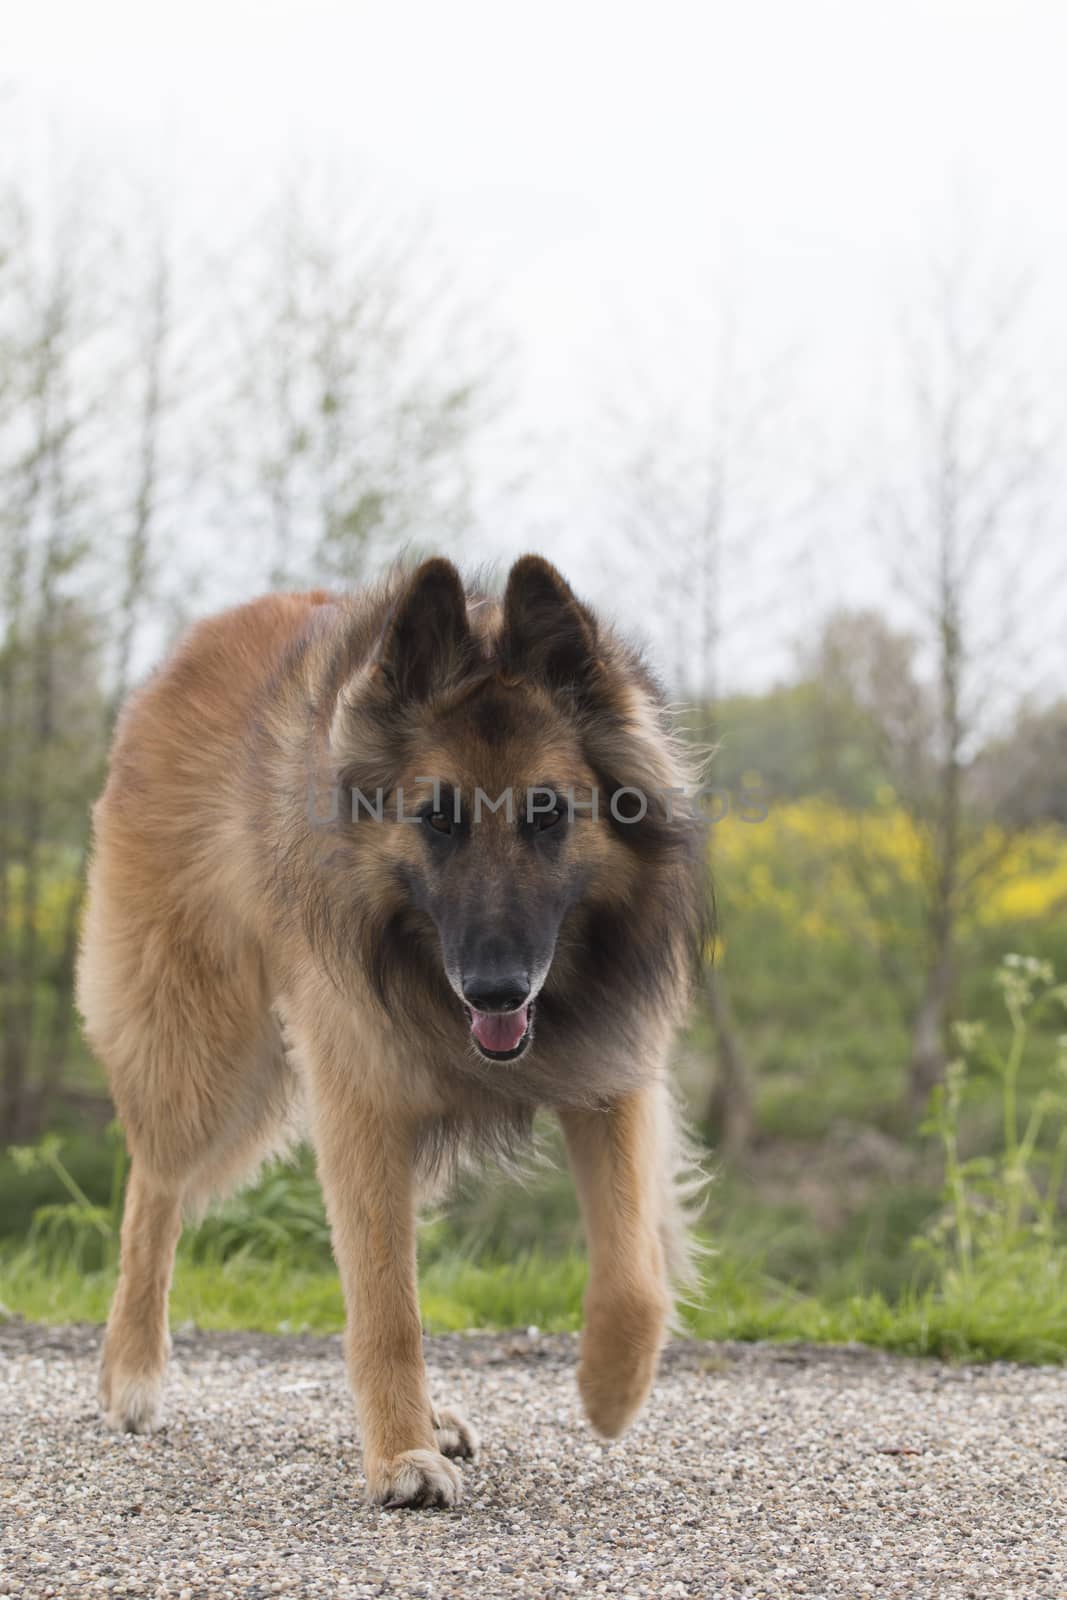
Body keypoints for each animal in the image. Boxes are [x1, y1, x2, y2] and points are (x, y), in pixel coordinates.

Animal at [77, 556, 710, 1504]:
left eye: (548, 814)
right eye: (438, 818)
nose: (495, 989)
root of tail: (191, 647)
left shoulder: (612, 1072)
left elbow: (634, 1270)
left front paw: (610, 1390)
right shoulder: (362, 1097)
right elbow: (385, 1303)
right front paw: (399, 1455)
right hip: (205, 1053)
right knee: (152, 1191)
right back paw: (133, 1371)